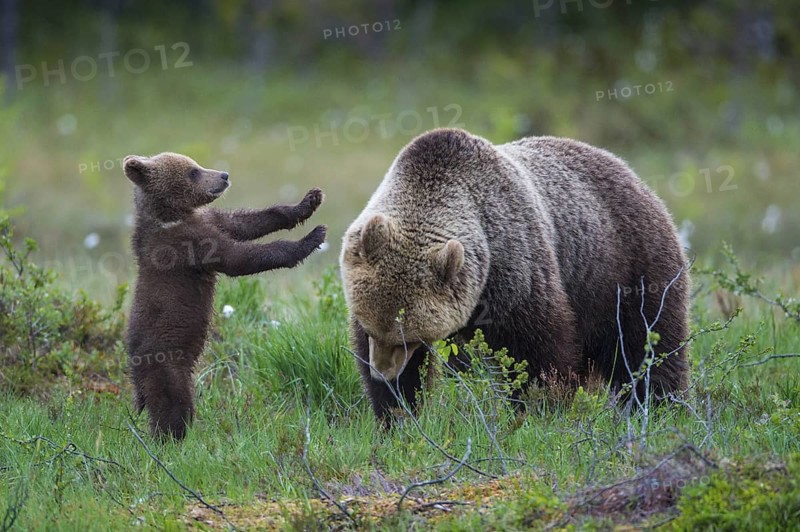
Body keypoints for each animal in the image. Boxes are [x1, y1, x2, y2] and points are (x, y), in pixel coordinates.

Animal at [124, 152, 327, 439]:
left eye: (195, 164)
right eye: (193, 171)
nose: (223, 175)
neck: (173, 216)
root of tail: (134, 370)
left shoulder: (209, 220)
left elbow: (245, 222)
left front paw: (308, 202)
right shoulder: (186, 245)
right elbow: (239, 258)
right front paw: (312, 237)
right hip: (166, 363)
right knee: (173, 406)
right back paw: (173, 440)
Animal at [340, 128, 689, 423]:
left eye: (409, 337)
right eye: (372, 329)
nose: (383, 373)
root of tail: (634, 176)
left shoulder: (513, 265)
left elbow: (537, 346)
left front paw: (541, 407)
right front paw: (396, 411)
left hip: (626, 268)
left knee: (647, 343)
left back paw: (657, 406)